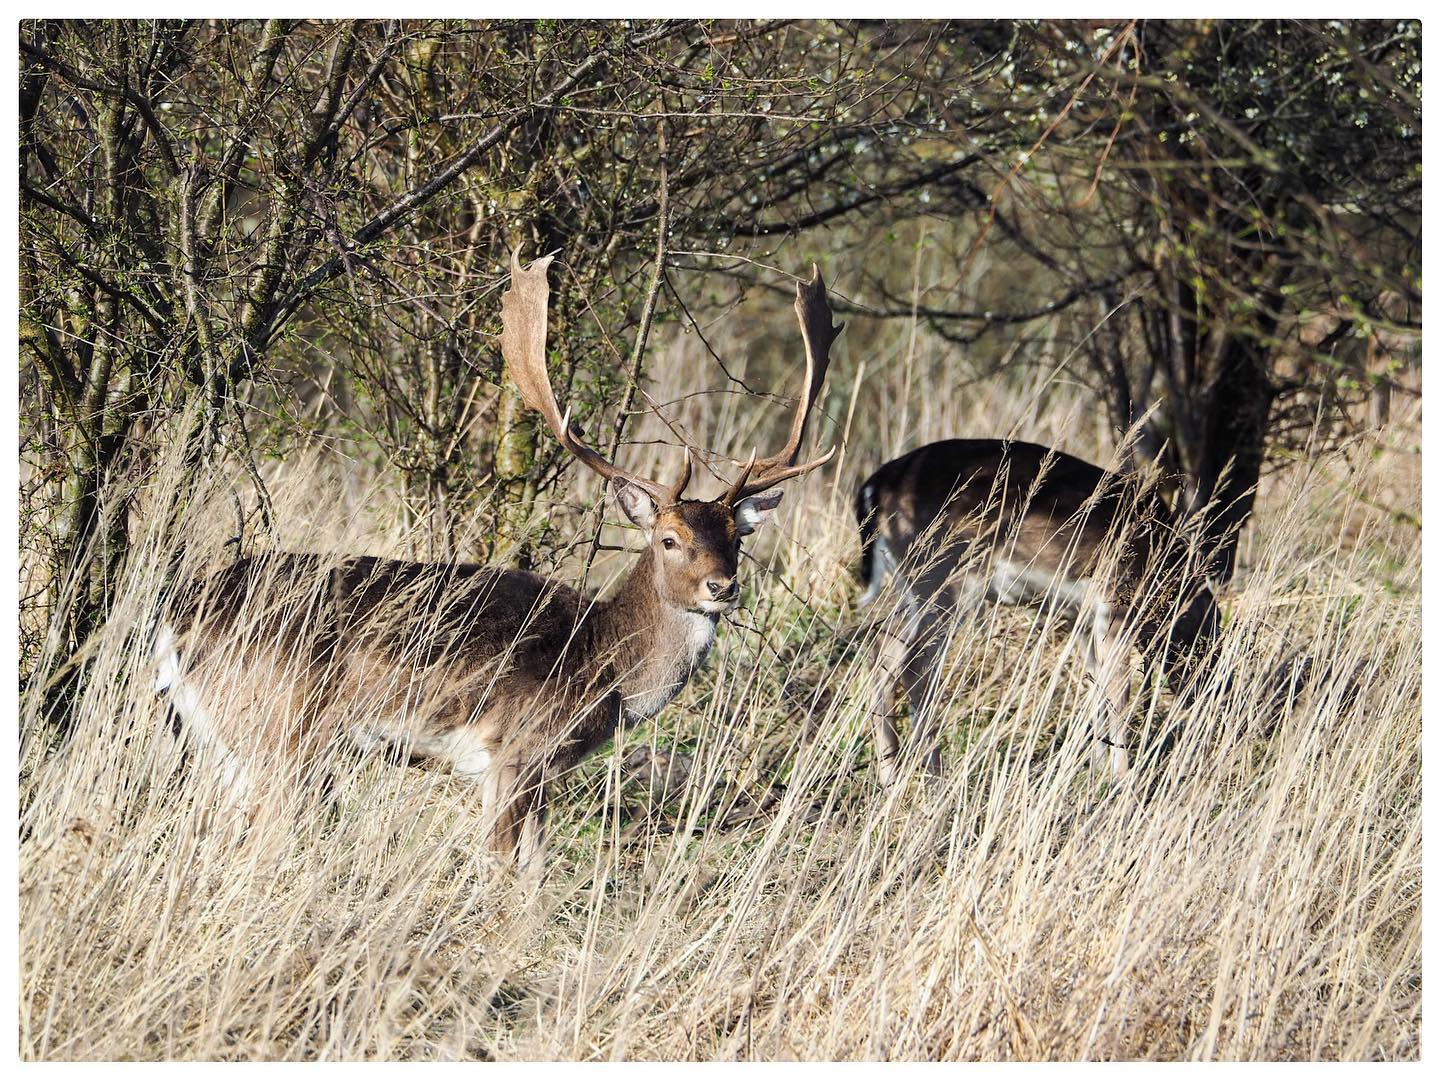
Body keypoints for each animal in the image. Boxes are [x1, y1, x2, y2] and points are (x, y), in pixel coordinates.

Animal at [152, 247, 842, 872]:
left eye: (736, 537)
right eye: (669, 538)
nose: (721, 586)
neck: (608, 670)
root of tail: (171, 622)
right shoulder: (516, 750)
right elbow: (511, 868)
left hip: (227, 740)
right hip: (277, 726)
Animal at [853, 438, 1222, 787]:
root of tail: (875, 485)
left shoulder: (1082, 620)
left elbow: (1096, 686)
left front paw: (1097, 772)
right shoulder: (1116, 604)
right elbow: (1119, 692)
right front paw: (1122, 781)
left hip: (915, 587)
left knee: (881, 649)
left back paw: (889, 777)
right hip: (946, 579)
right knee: (915, 667)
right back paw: (935, 779)